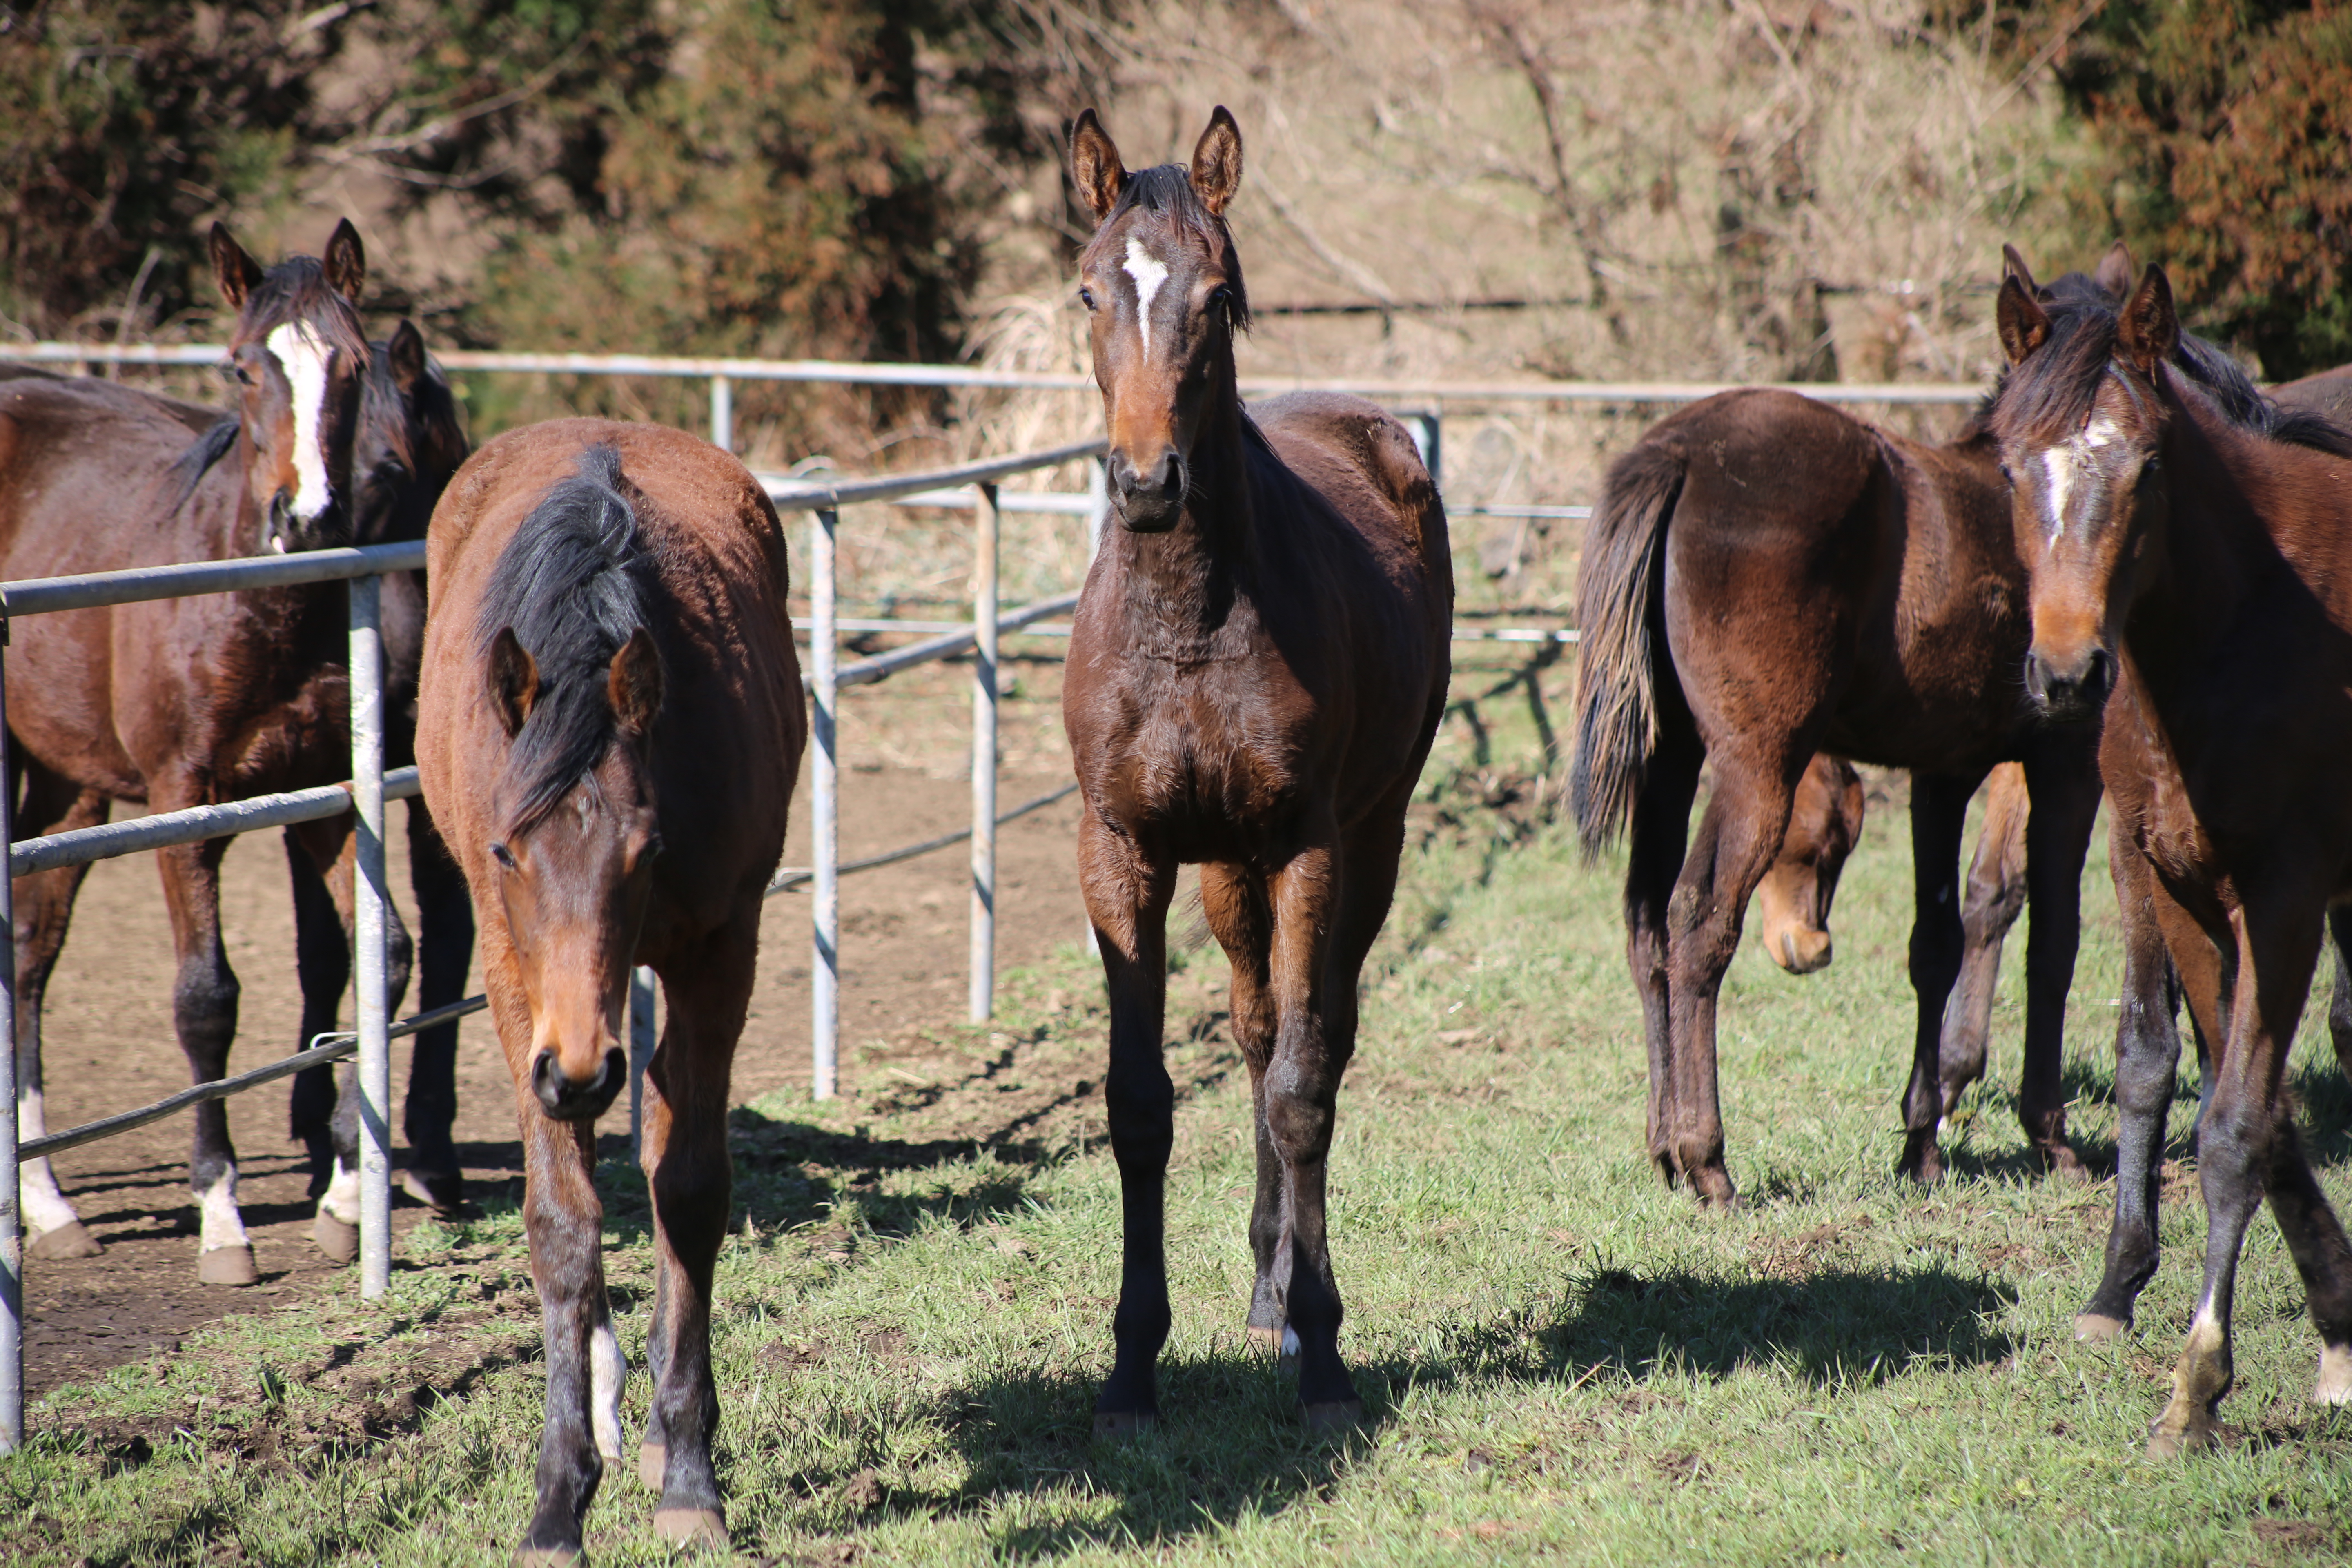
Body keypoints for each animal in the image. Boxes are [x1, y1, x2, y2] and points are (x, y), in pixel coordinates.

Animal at [425, 421, 818, 1561]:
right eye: (506, 850)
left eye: (642, 849)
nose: (579, 1068)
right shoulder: (518, 985)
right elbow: (563, 1223)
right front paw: (560, 1497)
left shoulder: (720, 947)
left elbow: (685, 1189)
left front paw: (686, 1471)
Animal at [1063, 107, 1449, 1439]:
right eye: (1090, 290)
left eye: (1220, 299)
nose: (1146, 483)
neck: (1190, 624)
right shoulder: (1123, 854)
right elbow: (1140, 1104)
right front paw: (1130, 1368)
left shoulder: (1310, 847)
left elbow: (1300, 1091)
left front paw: (1325, 1349)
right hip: (1226, 872)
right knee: (1253, 1023)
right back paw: (1259, 1284)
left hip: (1365, 842)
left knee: (1317, 1036)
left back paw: (1287, 1299)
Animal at [1994, 261, 2352, 1457]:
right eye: (2006, 462)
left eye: (2146, 465)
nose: (2065, 671)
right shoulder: (2182, 886)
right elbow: (2244, 1097)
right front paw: (2339, 1325)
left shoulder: (2283, 892)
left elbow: (2236, 1124)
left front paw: (2196, 1385)